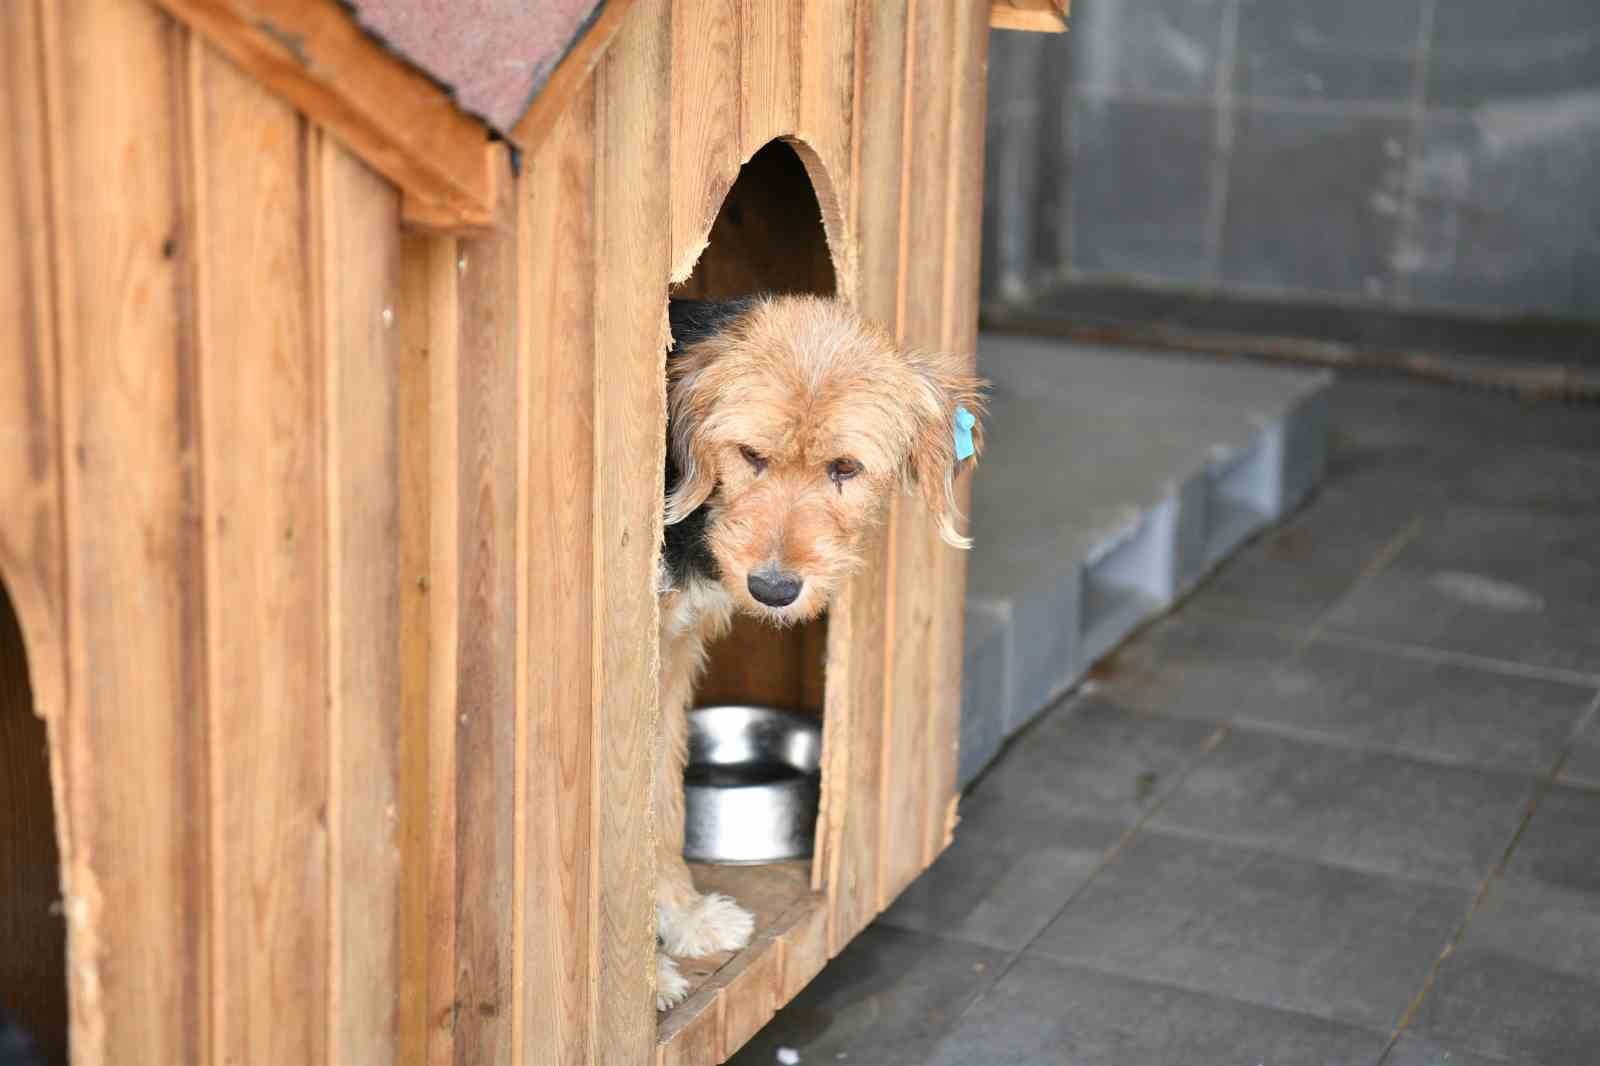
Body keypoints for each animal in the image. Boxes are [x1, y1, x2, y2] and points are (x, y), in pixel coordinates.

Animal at [652, 292, 979, 1005]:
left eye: (844, 468)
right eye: (750, 454)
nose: (774, 589)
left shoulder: (669, 663)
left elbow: (661, 802)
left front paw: (681, 917)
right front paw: (643, 982)